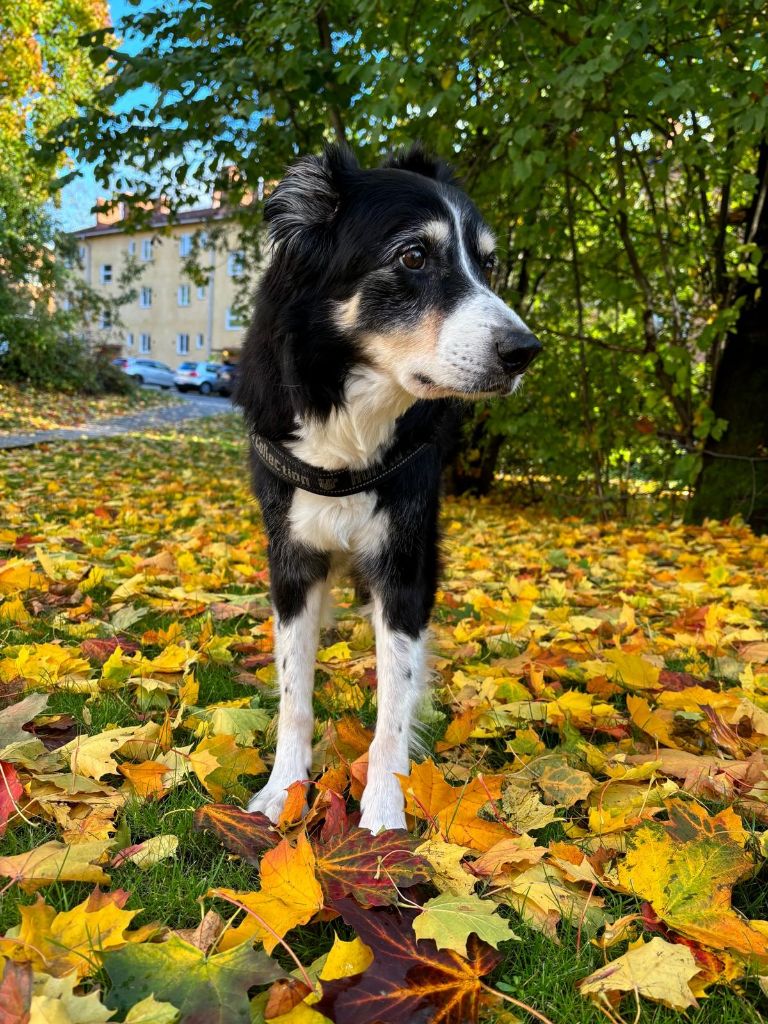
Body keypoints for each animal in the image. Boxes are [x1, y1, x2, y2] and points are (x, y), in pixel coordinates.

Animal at [234, 144, 540, 831]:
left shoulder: (406, 562)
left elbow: (393, 707)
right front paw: (284, 787)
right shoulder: (292, 558)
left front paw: (382, 811)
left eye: (488, 264)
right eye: (414, 256)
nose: (525, 352)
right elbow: (294, 689)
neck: (349, 420)